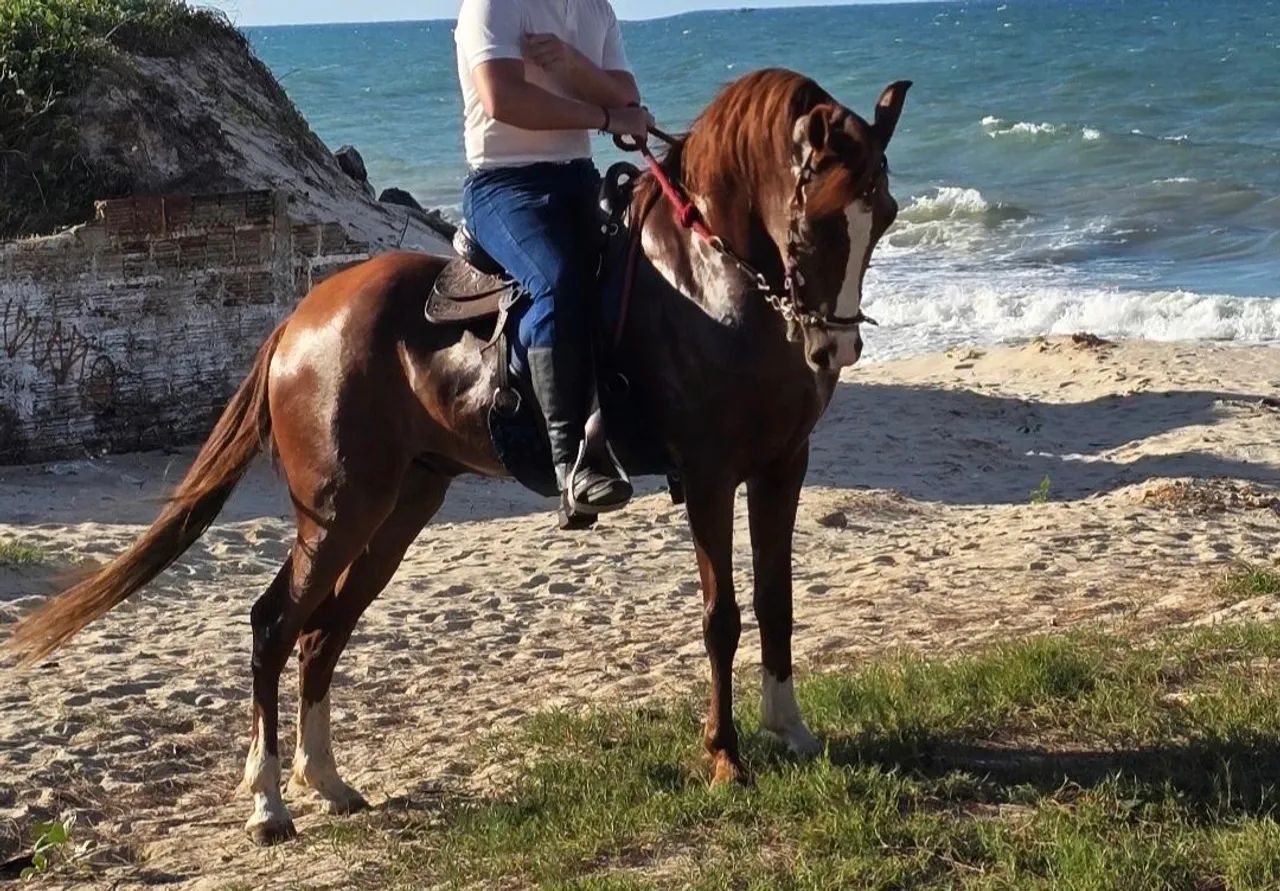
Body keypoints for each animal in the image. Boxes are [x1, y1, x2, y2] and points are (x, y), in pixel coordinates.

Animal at [4, 68, 910, 845]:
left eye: (889, 216)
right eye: (815, 221)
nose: (832, 349)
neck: (708, 281)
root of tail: (300, 320)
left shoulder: (782, 465)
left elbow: (777, 601)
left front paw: (792, 731)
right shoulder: (712, 471)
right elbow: (722, 615)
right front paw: (726, 756)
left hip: (400, 507)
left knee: (322, 632)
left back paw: (325, 781)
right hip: (337, 511)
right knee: (274, 623)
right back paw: (268, 801)